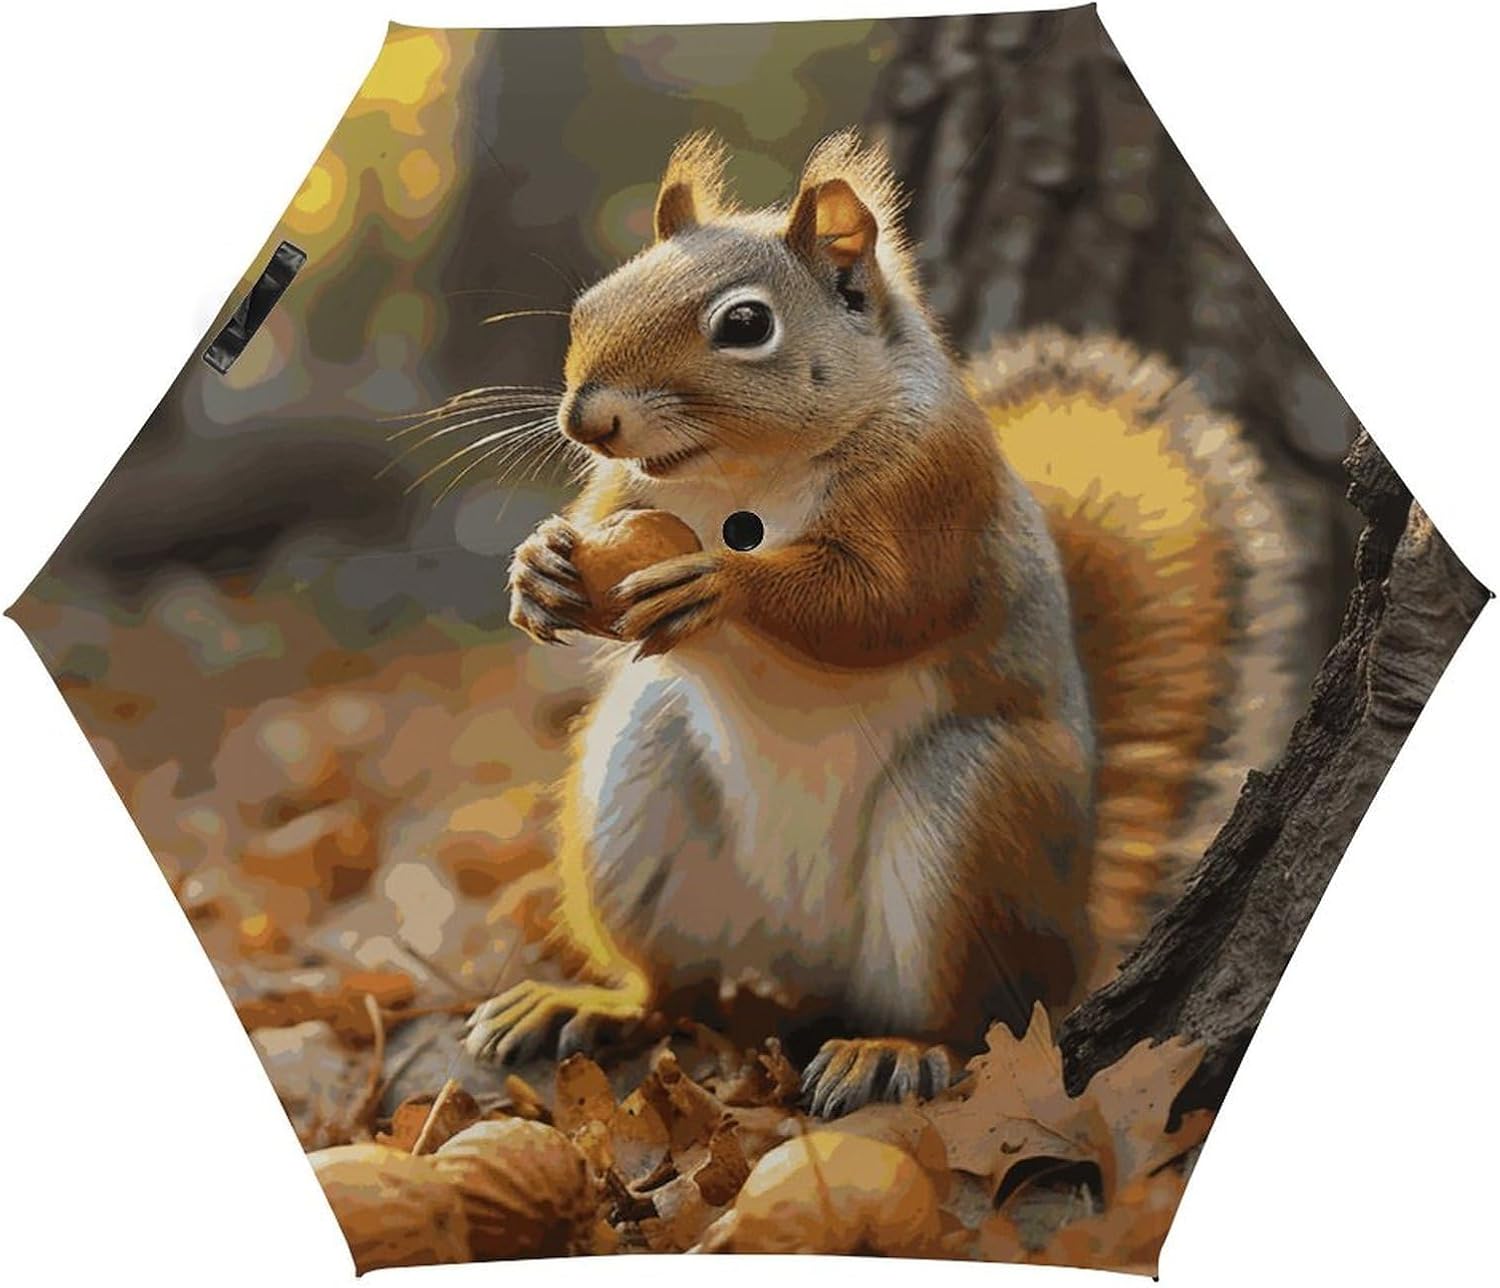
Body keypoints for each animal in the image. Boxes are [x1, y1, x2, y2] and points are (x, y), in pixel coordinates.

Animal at [462, 131, 1303, 1117]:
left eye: (744, 325)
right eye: (591, 303)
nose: (588, 419)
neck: (746, 475)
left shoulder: (933, 493)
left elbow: (879, 606)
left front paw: (723, 584)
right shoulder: (618, 492)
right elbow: (594, 527)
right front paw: (539, 570)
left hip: (970, 821)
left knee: (979, 1021)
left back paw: (892, 1051)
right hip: (640, 783)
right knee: (675, 990)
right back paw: (589, 1004)